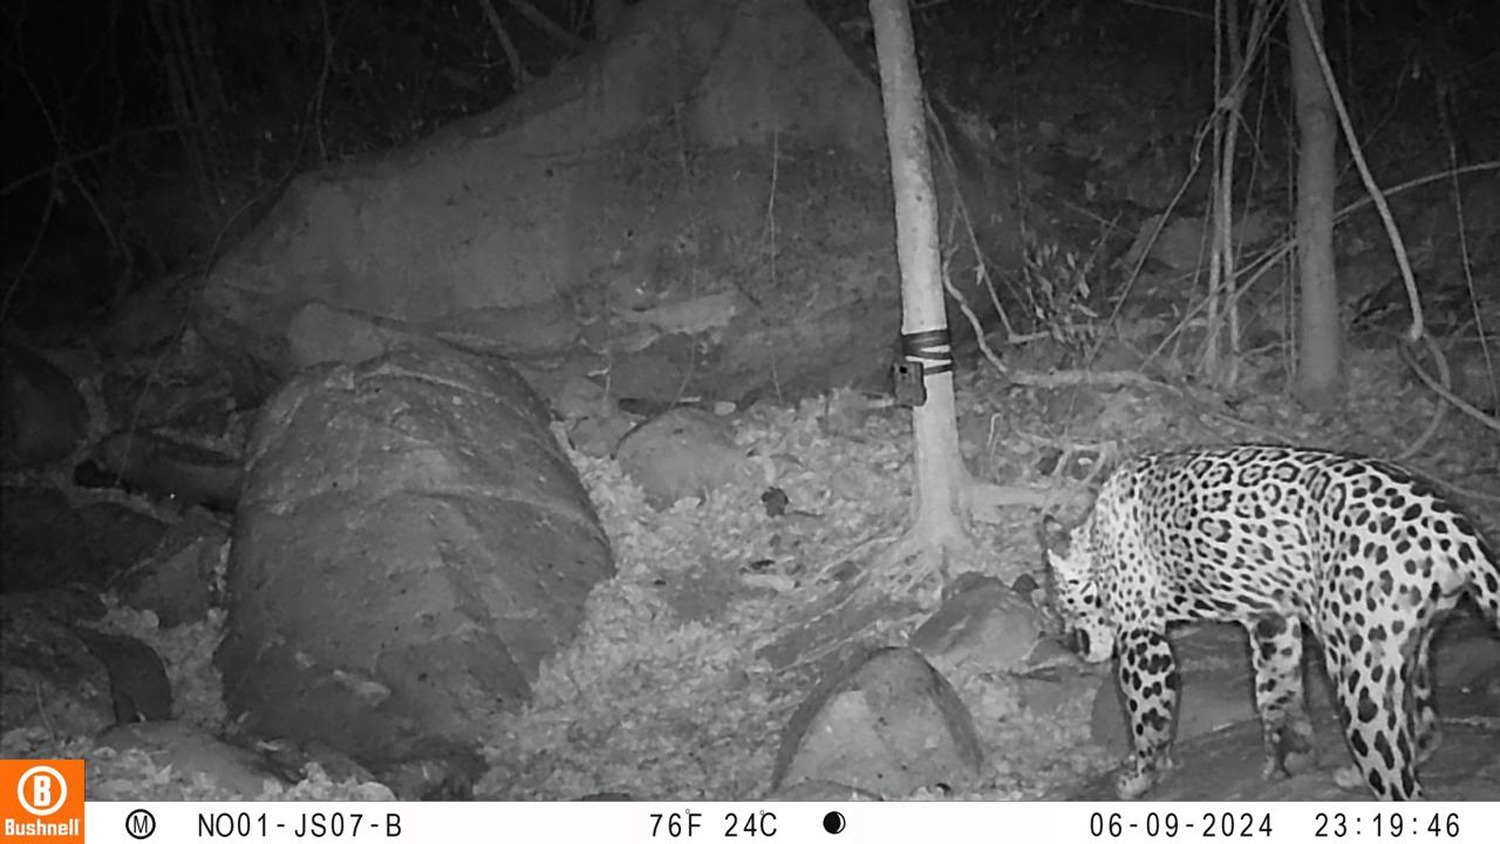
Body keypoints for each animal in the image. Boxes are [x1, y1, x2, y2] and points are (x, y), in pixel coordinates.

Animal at [1039, 444, 1500, 801]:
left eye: (1061, 605)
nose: (1072, 643)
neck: (1093, 537)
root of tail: (1449, 525)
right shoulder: (1272, 619)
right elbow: (1278, 693)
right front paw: (1292, 761)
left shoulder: (1141, 635)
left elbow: (1146, 714)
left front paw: (1141, 777)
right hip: (1409, 647)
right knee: (1424, 728)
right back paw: (1359, 772)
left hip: (1359, 667)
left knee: (1398, 778)